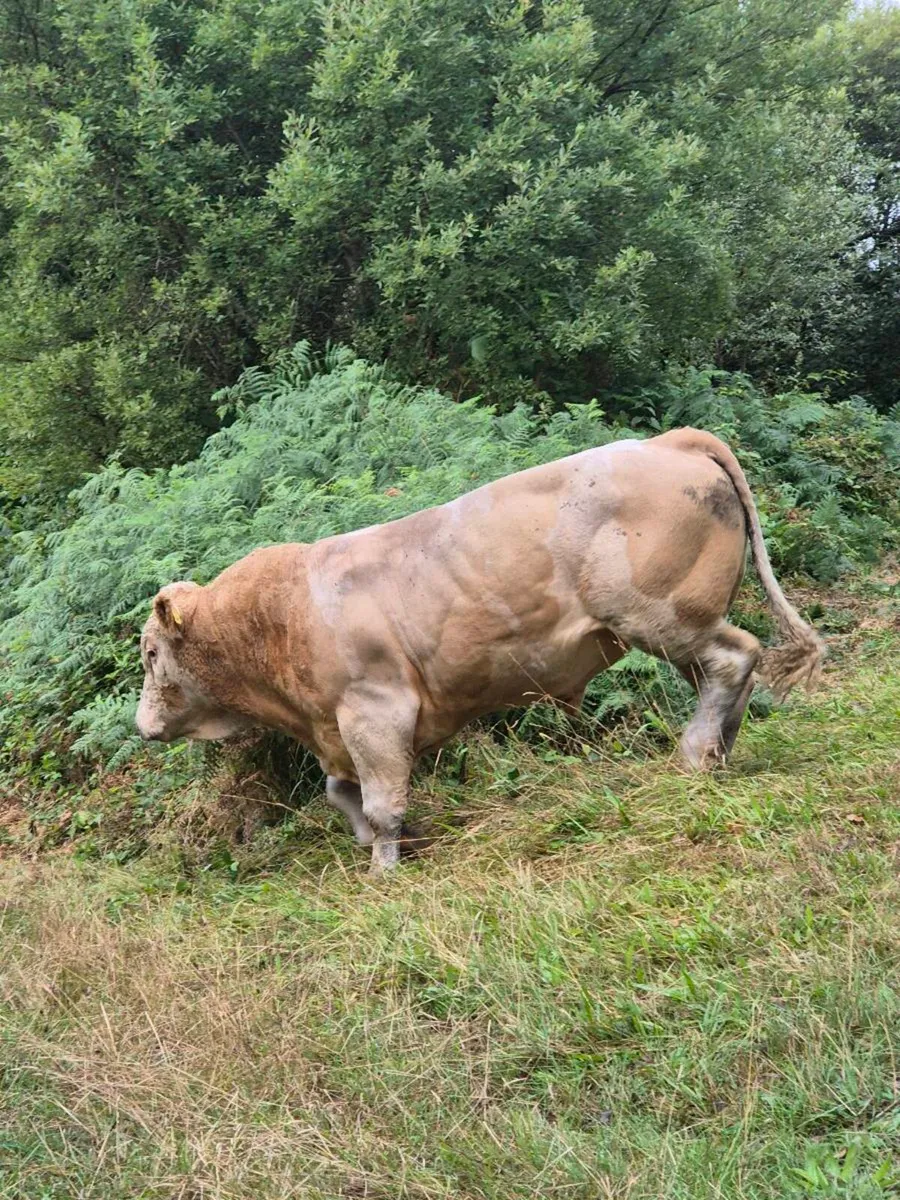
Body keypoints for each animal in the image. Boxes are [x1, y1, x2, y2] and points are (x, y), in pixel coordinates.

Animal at [136, 427, 824, 872]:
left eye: (148, 654)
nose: (142, 724)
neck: (280, 616)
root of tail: (668, 440)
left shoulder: (374, 711)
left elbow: (381, 803)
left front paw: (385, 865)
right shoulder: (337, 725)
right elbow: (340, 793)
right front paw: (386, 841)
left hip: (661, 614)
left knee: (735, 659)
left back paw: (694, 754)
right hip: (674, 627)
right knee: (723, 675)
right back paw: (719, 751)